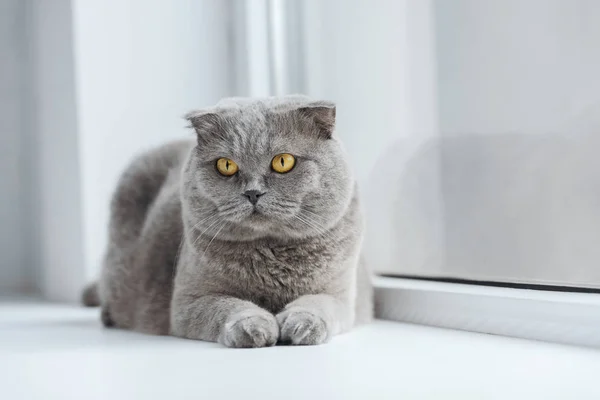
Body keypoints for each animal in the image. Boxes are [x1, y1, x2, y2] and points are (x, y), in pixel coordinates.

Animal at [83, 96, 376, 346]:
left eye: (283, 161)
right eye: (226, 165)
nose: (253, 192)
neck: (272, 255)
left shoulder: (340, 294)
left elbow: (318, 303)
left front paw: (301, 325)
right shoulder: (189, 302)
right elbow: (228, 307)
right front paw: (255, 327)